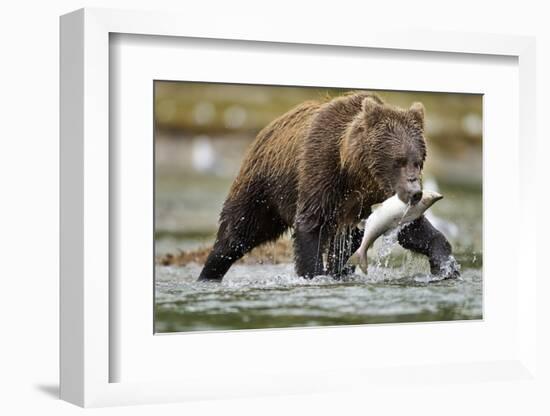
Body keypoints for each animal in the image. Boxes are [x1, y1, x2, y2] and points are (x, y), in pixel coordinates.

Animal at [197, 90, 458, 282]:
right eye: (399, 161)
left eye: (418, 161)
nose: (415, 192)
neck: (355, 172)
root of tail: (265, 130)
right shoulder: (321, 171)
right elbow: (310, 226)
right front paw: (314, 274)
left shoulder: (374, 197)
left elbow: (412, 228)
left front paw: (446, 267)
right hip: (263, 188)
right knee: (236, 234)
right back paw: (208, 274)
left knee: (348, 244)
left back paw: (341, 272)